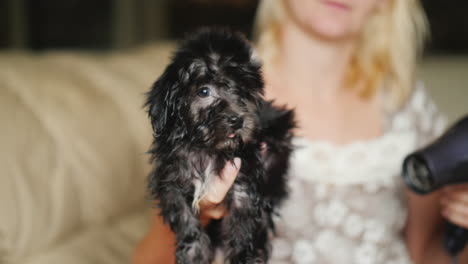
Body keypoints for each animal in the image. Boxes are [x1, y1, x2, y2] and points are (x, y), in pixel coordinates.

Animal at [144, 28, 294, 264]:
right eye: (204, 91)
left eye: (243, 92)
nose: (237, 120)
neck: (206, 148)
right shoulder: (171, 181)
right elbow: (184, 217)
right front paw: (194, 252)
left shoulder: (244, 183)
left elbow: (243, 226)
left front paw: (243, 257)